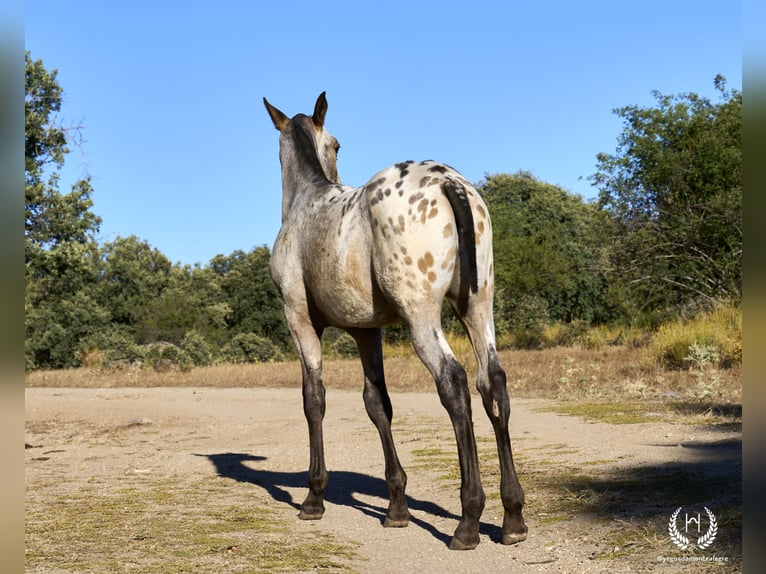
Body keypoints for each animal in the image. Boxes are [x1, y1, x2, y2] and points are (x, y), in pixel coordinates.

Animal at [264, 92, 528, 552]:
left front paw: (313, 497)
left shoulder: (300, 321)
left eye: (337, 145)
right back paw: (512, 516)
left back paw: (468, 520)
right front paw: (397, 507)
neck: (306, 203)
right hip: (478, 309)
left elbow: (314, 399)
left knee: (454, 383)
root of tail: (448, 182)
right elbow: (377, 403)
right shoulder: (366, 331)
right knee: (492, 382)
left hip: (421, 318)